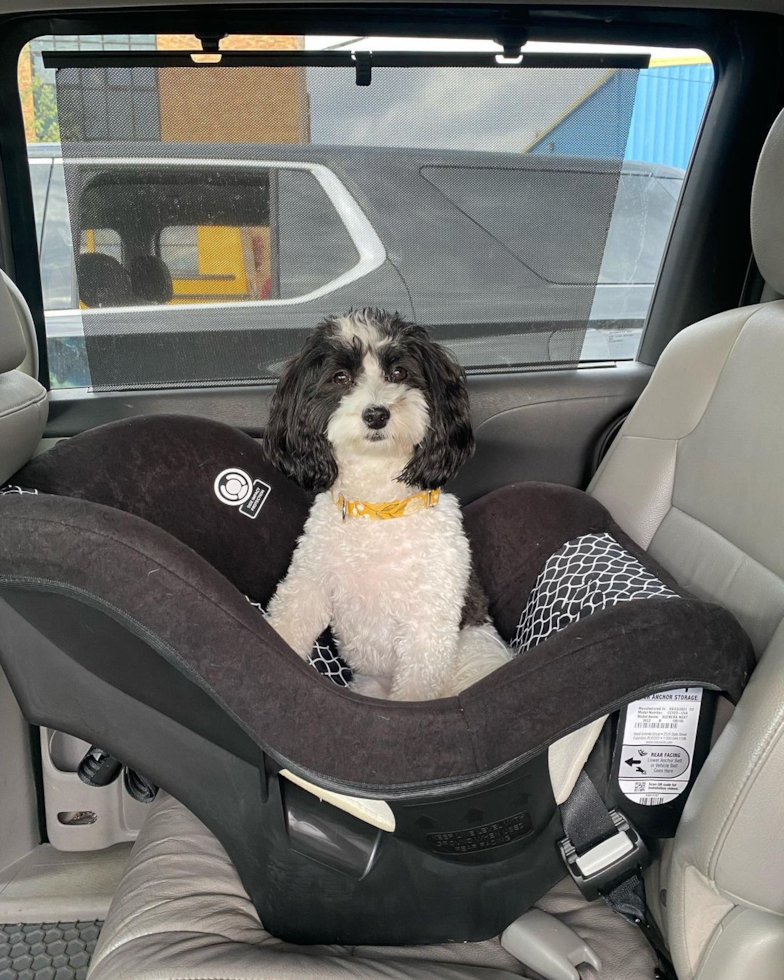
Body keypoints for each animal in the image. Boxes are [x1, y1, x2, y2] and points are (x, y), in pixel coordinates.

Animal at [266, 306, 512, 696]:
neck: (378, 508)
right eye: (340, 377)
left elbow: (417, 683)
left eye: (399, 373)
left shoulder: (428, 622)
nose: (377, 414)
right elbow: (287, 626)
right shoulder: (309, 584)